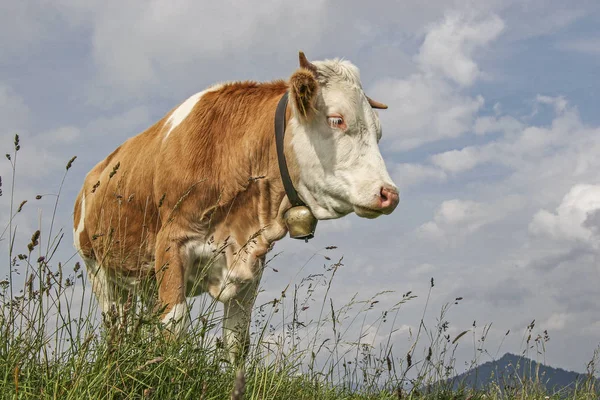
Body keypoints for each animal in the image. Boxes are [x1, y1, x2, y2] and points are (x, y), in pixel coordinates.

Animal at [74, 51, 398, 364]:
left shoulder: (250, 264)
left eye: (379, 133)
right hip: (99, 271)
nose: (390, 194)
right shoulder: (171, 244)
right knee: (116, 327)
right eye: (337, 120)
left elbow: (236, 342)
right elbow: (173, 327)